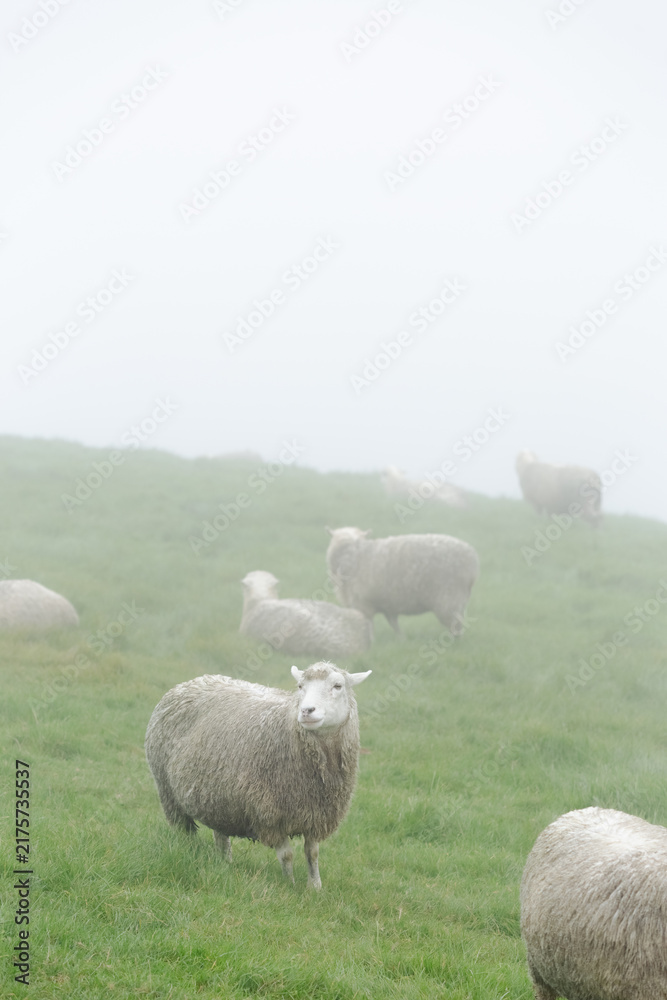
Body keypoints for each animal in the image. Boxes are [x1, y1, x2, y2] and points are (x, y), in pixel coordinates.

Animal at [145, 662, 371, 889]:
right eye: (300, 686)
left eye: (338, 686)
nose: (306, 711)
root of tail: (189, 683)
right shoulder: (269, 815)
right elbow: (287, 856)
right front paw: (290, 885)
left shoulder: (317, 815)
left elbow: (312, 853)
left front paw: (315, 887)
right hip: (168, 792)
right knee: (183, 831)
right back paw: (187, 854)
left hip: (217, 797)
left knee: (221, 836)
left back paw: (225, 863)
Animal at [326, 526, 478, 635]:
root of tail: (472, 559)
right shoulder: (387, 604)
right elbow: (394, 623)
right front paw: (401, 639)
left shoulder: (363, 604)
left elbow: (368, 627)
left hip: (448, 598)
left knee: (456, 625)